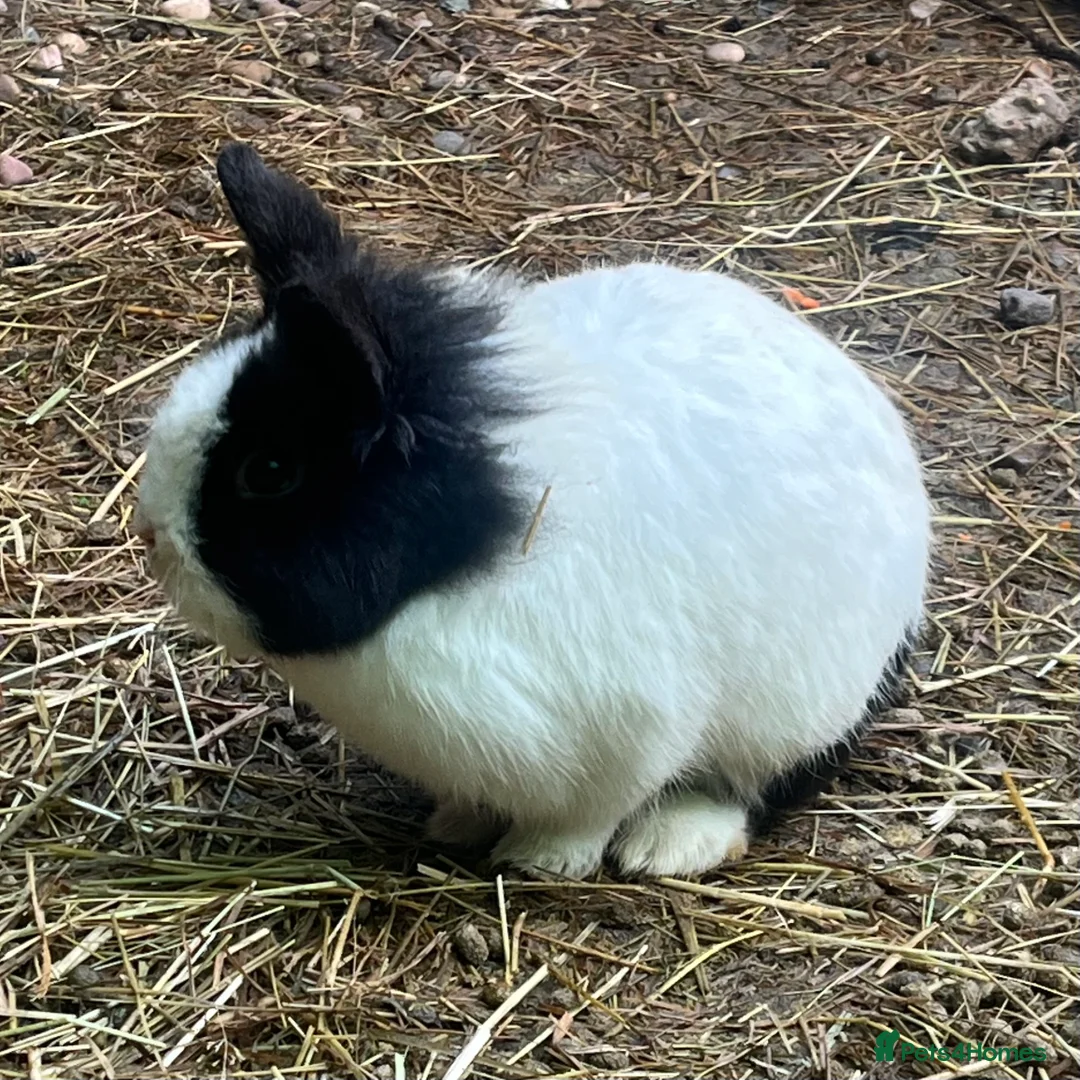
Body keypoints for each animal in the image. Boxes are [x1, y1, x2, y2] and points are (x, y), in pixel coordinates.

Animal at [134, 142, 931, 879]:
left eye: (269, 471)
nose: (151, 539)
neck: (467, 554)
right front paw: (455, 824)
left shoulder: (631, 734)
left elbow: (591, 815)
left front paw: (539, 861)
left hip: (805, 706)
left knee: (765, 783)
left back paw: (670, 845)